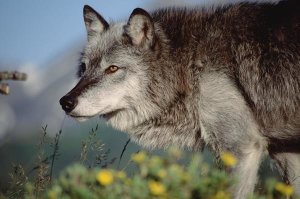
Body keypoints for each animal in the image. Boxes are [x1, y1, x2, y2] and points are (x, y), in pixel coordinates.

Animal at [59, 0, 298, 197]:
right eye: (84, 68)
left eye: (112, 68)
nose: (65, 102)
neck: (189, 63)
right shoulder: (285, 151)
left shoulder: (240, 147)